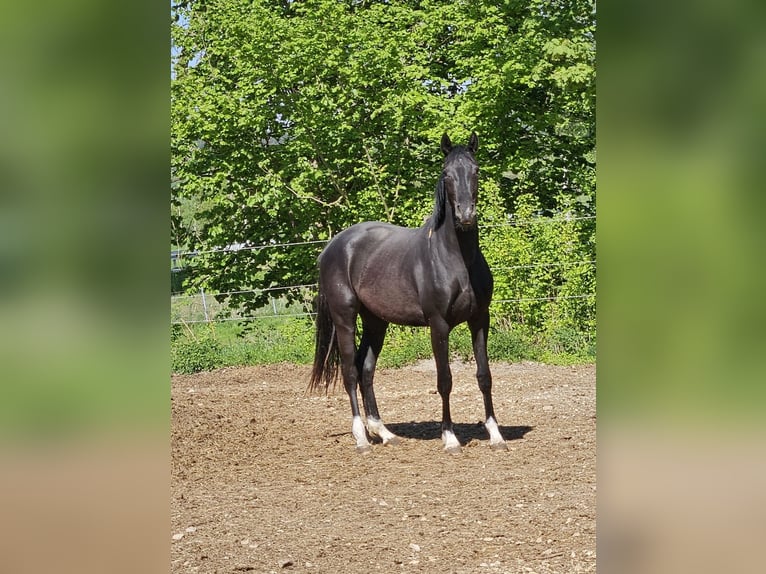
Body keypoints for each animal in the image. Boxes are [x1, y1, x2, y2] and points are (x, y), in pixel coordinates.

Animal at [308, 132, 507, 454]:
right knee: (350, 371)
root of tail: (332, 246)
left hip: (376, 321)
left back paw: (384, 433)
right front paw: (450, 438)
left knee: (365, 369)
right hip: (344, 318)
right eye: (446, 174)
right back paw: (361, 439)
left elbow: (484, 376)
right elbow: (445, 379)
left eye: (476, 171)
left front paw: (496, 434)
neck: (455, 260)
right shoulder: (439, 325)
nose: (465, 216)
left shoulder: (480, 320)